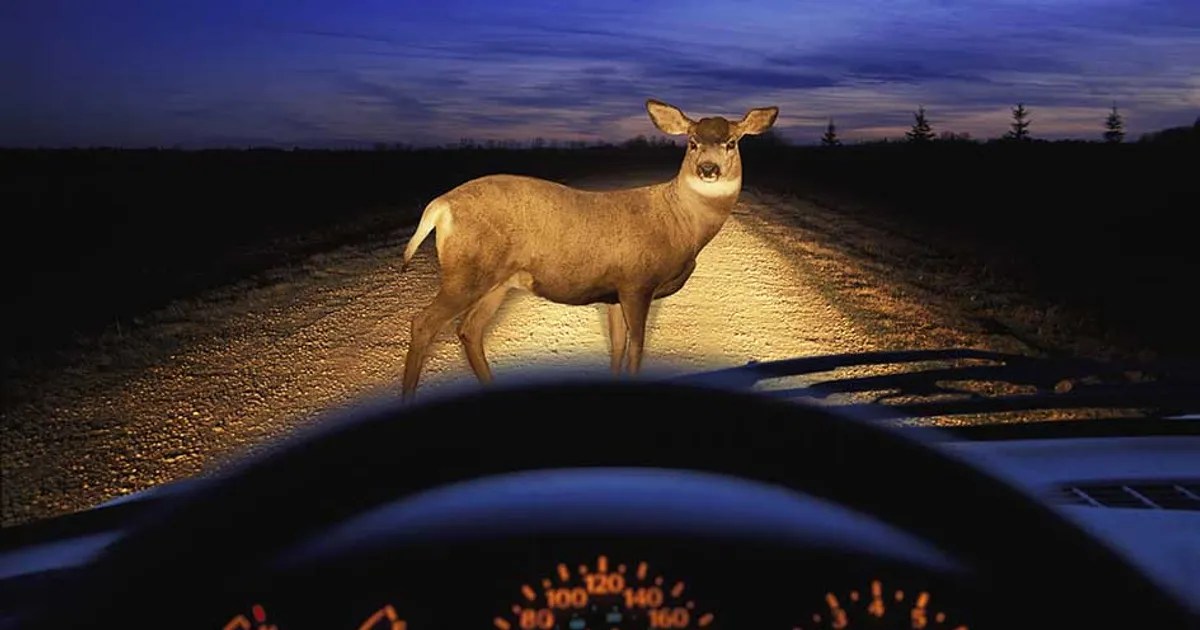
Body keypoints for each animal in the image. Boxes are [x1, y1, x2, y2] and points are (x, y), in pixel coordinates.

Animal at [398, 98, 779, 399]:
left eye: (731, 142)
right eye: (692, 142)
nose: (708, 169)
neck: (681, 224)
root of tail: (440, 205)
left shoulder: (614, 292)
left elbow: (617, 346)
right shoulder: (637, 282)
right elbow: (636, 348)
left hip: (498, 281)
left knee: (469, 330)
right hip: (467, 272)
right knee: (423, 322)